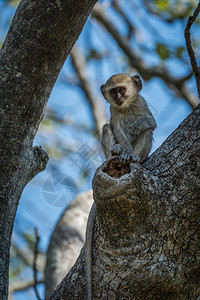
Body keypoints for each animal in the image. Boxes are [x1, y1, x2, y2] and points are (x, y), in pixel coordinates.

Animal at [84, 73, 156, 300]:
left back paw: (135, 158)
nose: (118, 98)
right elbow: (116, 129)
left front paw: (140, 124)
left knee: (147, 132)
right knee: (107, 128)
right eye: (113, 91)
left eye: (122, 90)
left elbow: (151, 122)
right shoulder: (113, 111)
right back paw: (117, 151)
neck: (126, 107)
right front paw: (122, 148)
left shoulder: (141, 103)